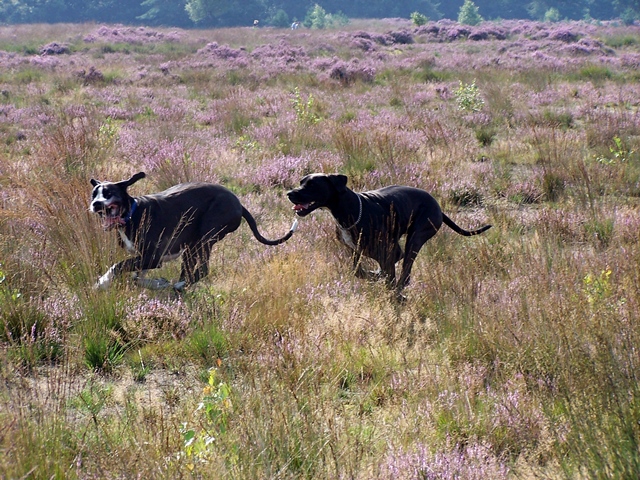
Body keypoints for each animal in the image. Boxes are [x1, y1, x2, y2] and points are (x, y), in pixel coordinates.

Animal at [90, 172, 297, 290]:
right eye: (94, 195)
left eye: (109, 193)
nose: (96, 204)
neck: (132, 214)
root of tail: (238, 203)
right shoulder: (144, 258)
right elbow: (135, 277)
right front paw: (156, 284)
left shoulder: (153, 257)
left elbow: (118, 266)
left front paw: (101, 283)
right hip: (191, 245)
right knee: (189, 271)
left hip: (205, 238)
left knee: (203, 270)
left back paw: (180, 285)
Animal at [287, 173, 491, 295]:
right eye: (301, 182)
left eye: (312, 185)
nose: (290, 193)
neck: (347, 209)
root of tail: (438, 206)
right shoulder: (355, 250)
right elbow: (358, 271)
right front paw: (374, 276)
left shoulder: (386, 249)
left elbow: (389, 275)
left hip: (416, 237)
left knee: (405, 269)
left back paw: (399, 288)